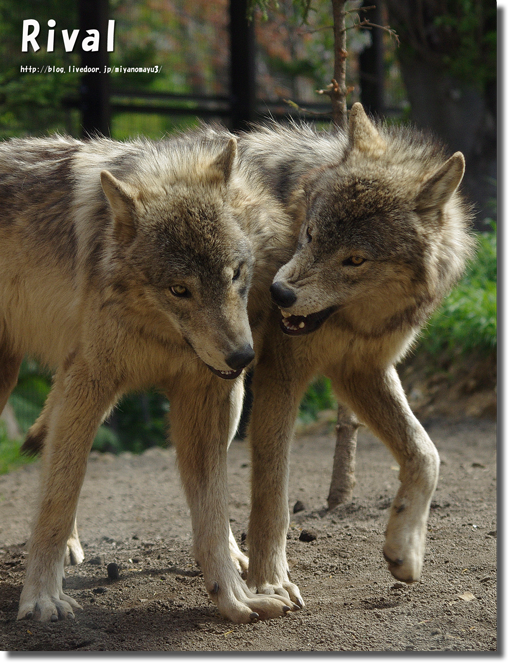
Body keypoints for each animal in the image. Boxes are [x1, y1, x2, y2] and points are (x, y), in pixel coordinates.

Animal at [0, 131, 298, 624]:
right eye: (179, 289)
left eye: (235, 273)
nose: (242, 356)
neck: (161, 334)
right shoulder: (91, 383)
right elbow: (59, 497)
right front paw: (42, 597)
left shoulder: (205, 396)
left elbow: (211, 508)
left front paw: (234, 594)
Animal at [235, 104, 474, 608]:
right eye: (310, 234)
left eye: (356, 259)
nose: (280, 294)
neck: (354, 322)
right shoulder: (280, 376)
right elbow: (272, 493)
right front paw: (269, 581)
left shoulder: (361, 371)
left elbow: (426, 454)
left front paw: (406, 549)